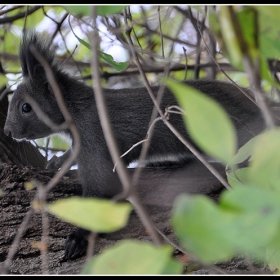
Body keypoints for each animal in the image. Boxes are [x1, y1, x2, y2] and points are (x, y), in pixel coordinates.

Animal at [3, 31, 272, 260]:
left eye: (25, 107)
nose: (7, 131)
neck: (77, 110)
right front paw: (56, 162)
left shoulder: (95, 135)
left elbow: (100, 190)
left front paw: (79, 237)